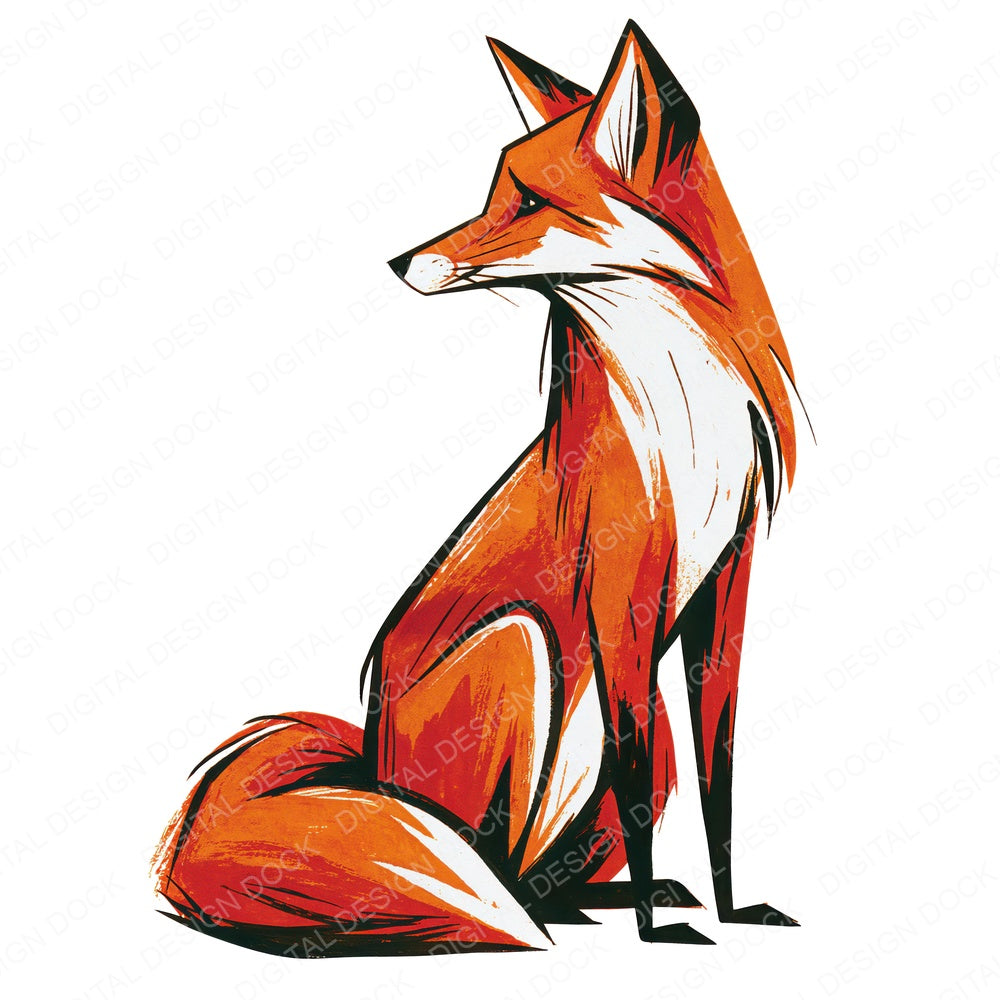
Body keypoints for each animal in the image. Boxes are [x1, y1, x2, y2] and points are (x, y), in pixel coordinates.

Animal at [153, 21, 810, 956]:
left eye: (528, 202)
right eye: (492, 192)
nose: (400, 262)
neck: (683, 412)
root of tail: (369, 763)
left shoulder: (725, 581)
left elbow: (718, 777)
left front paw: (730, 907)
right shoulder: (619, 595)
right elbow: (644, 781)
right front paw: (660, 935)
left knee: (545, 870)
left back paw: (607, 896)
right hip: (520, 644)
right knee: (493, 863)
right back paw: (531, 908)